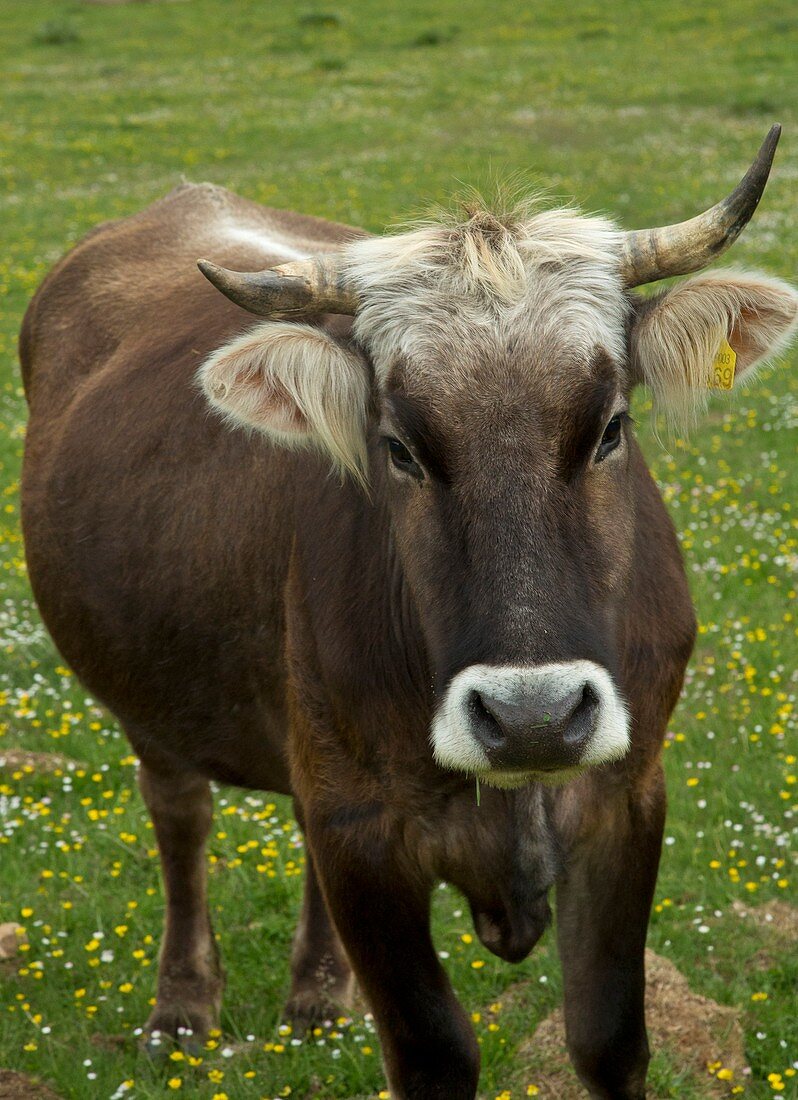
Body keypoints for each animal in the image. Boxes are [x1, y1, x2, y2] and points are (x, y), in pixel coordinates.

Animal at [18, 124, 796, 1095]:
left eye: (611, 428)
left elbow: (609, 1037)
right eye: (399, 448)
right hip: (151, 701)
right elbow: (432, 1052)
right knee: (180, 816)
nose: (533, 717)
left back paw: (318, 994)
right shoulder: (363, 838)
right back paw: (183, 1007)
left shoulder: (626, 800)